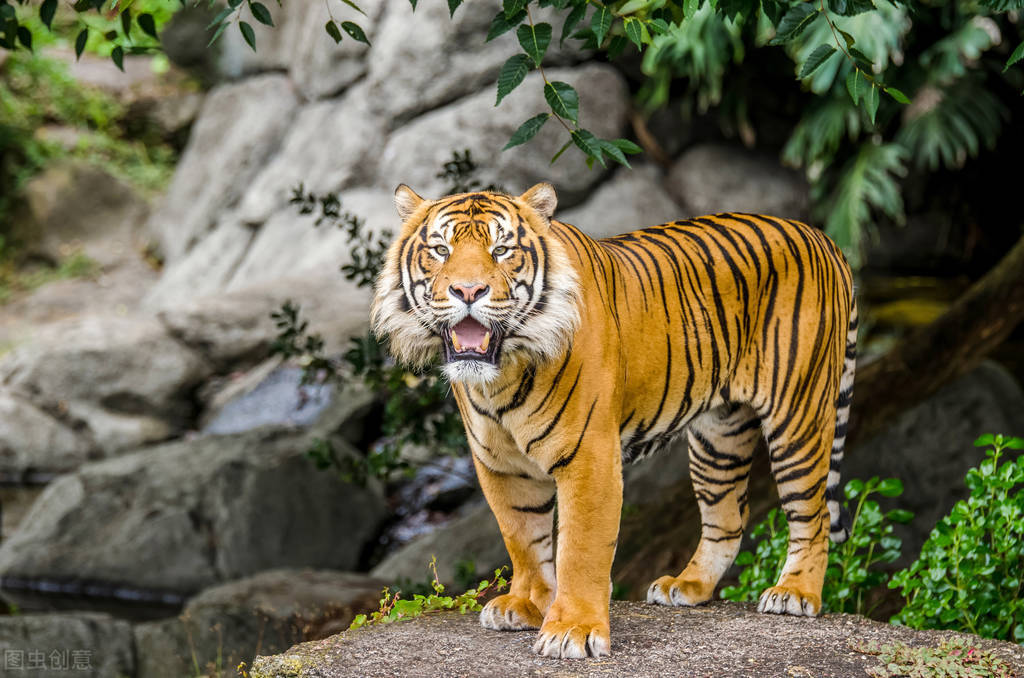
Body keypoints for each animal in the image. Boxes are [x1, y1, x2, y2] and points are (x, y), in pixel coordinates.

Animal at [368, 180, 856, 659]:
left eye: (502, 250)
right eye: (440, 250)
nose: (468, 292)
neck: (502, 373)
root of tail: (821, 237)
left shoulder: (590, 457)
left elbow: (580, 550)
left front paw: (573, 630)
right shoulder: (500, 465)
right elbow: (523, 539)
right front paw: (526, 605)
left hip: (798, 416)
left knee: (812, 515)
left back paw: (795, 593)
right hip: (719, 436)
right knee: (728, 518)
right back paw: (687, 586)